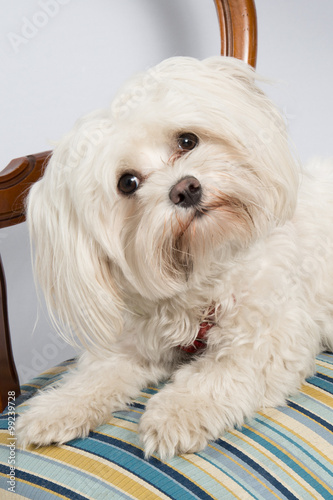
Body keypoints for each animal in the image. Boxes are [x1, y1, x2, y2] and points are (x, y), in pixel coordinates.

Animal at [16, 56, 332, 458]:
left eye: (187, 140)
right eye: (128, 183)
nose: (185, 188)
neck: (200, 271)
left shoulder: (270, 339)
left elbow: (218, 374)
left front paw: (177, 412)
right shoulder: (135, 343)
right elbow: (98, 373)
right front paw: (59, 407)